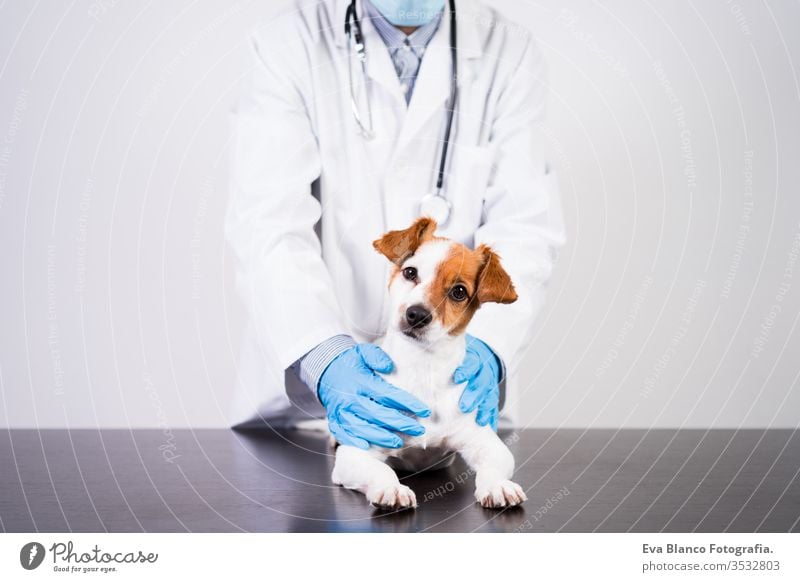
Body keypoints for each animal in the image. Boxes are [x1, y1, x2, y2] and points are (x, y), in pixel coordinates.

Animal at [332, 218, 524, 512]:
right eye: (410, 272)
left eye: (459, 291)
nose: (417, 315)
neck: (423, 367)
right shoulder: (357, 452)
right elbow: (380, 469)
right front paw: (391, 488)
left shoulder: (487, 444)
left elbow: (493, 466)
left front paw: (498, 485)